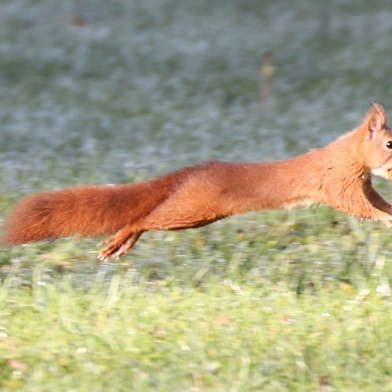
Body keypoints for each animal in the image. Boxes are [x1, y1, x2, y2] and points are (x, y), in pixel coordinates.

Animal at [2, 102, 392, 258]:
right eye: (389, 143)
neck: (350, 153)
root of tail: (192, 171)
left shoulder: (363, 184)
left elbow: (374, 201)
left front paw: (388, 212)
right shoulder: (338, 181)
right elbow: (355, 205)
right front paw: (387, 219)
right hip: (192, 210)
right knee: (144, 218)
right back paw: (120, 240)